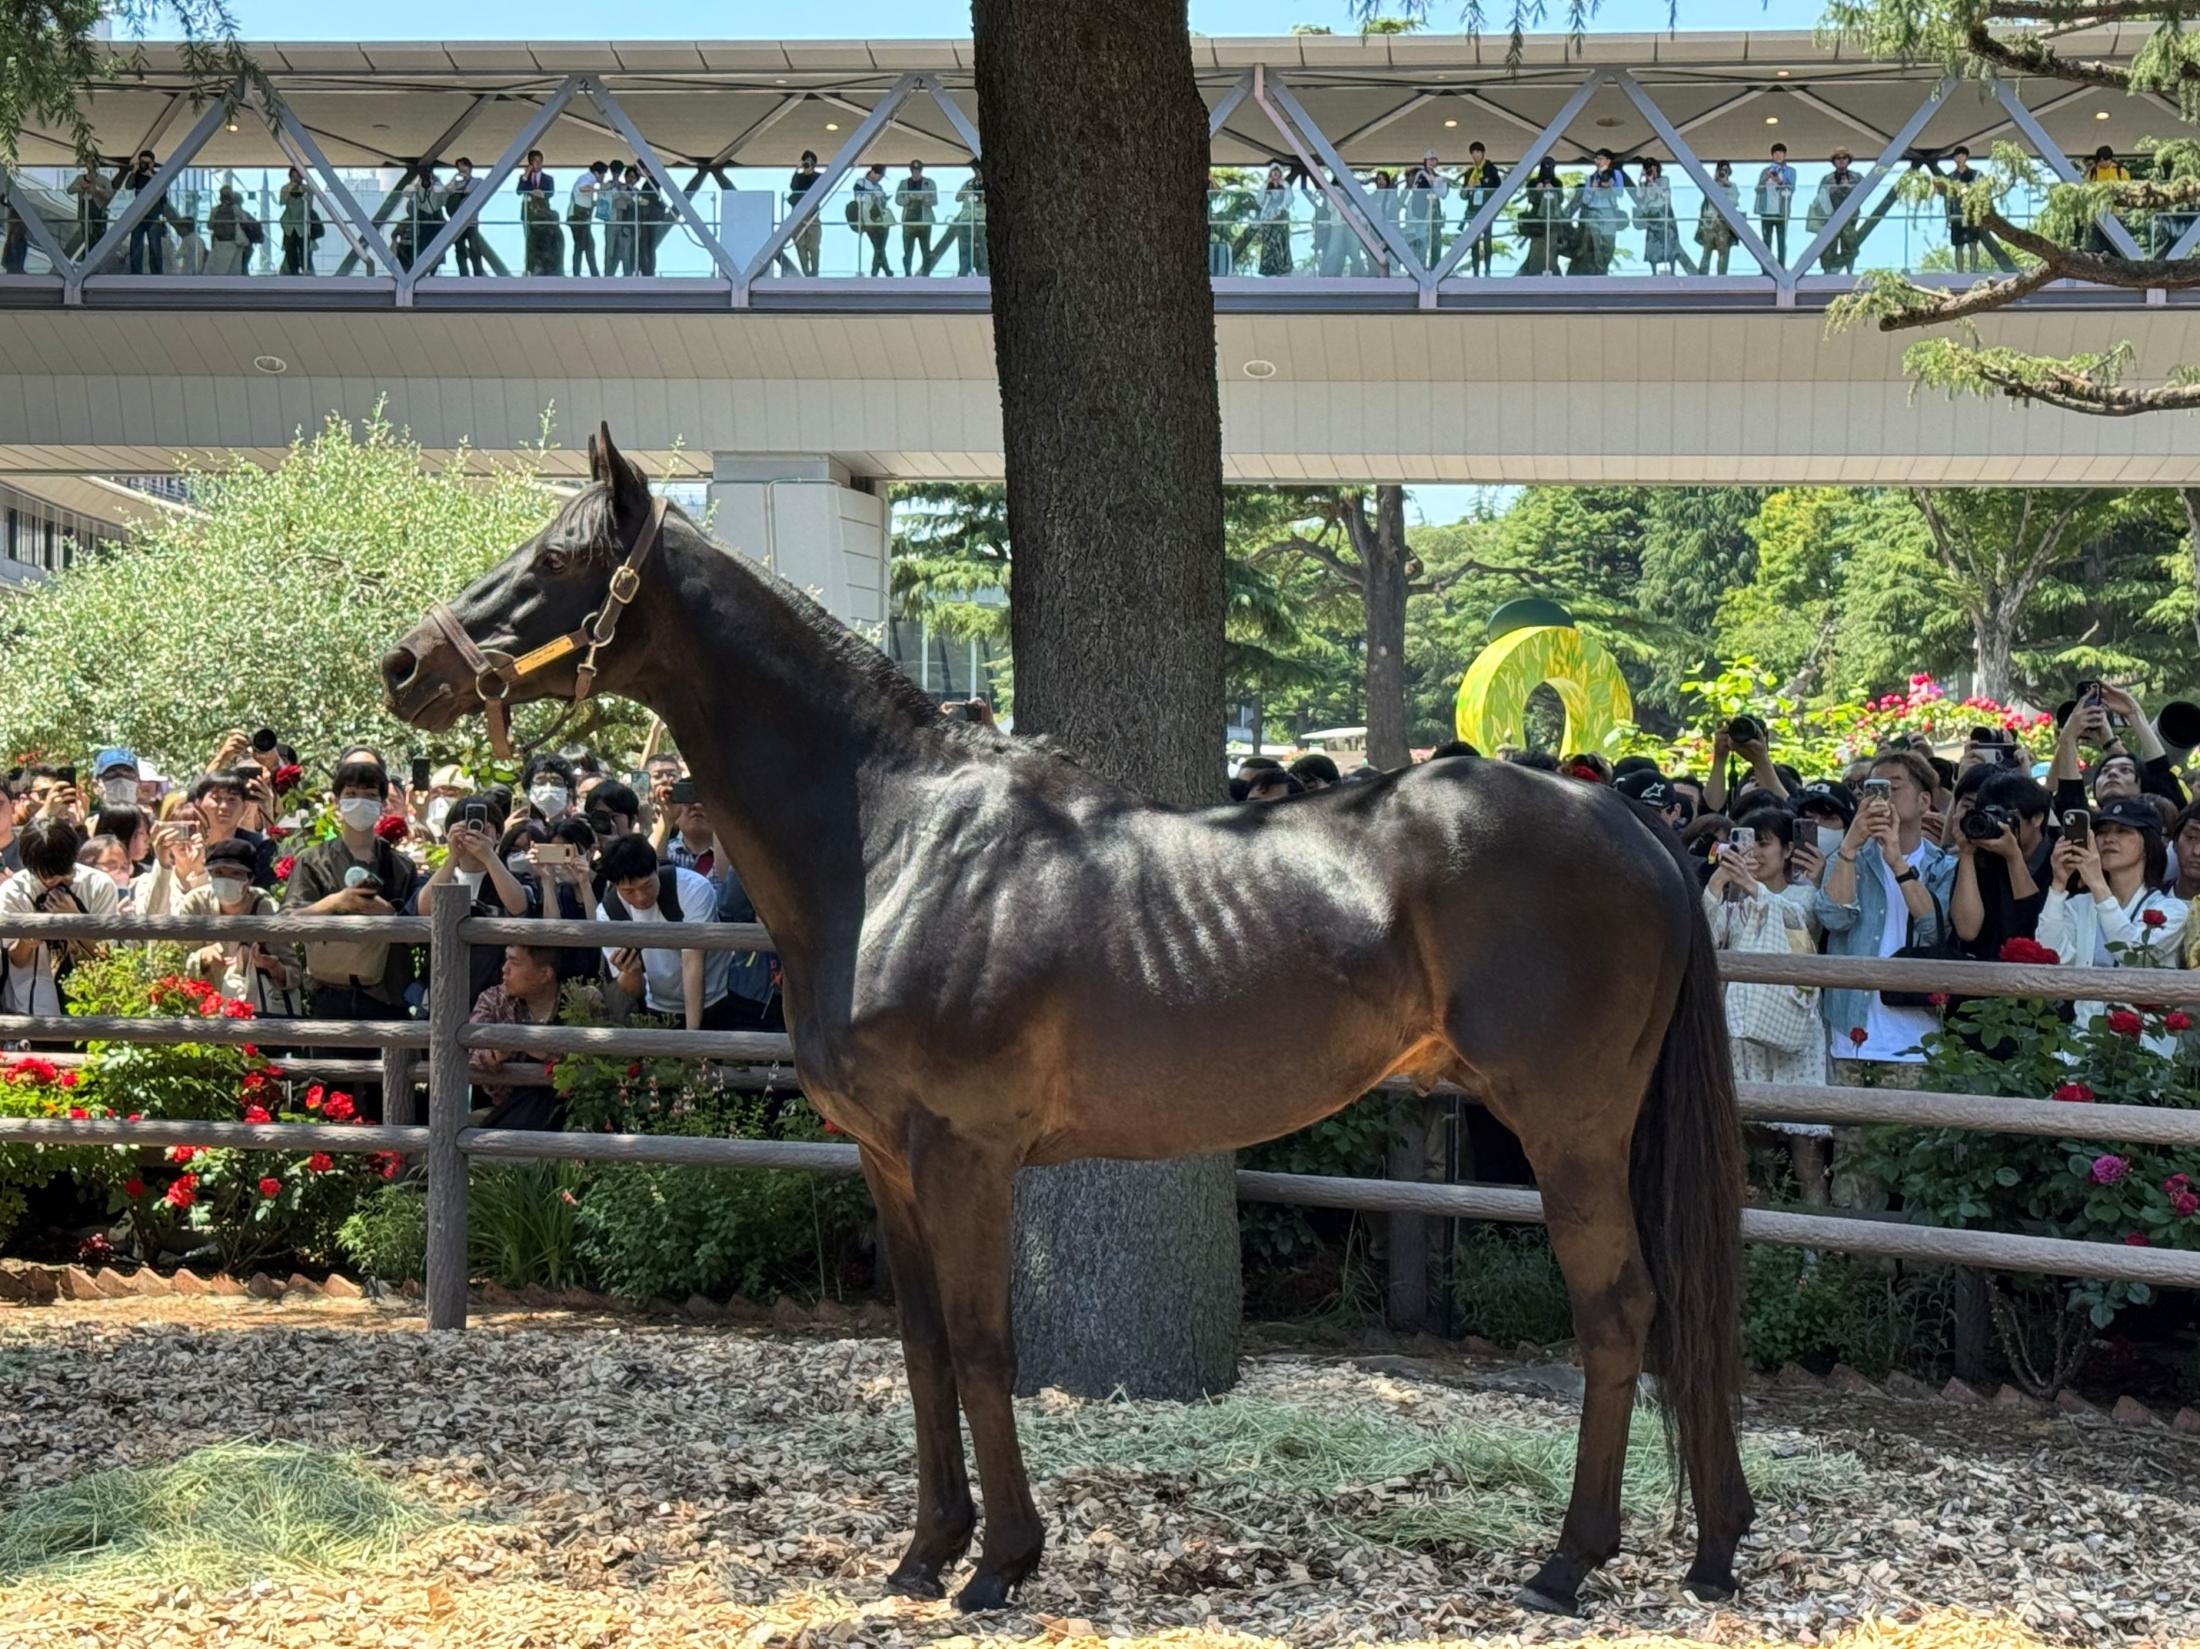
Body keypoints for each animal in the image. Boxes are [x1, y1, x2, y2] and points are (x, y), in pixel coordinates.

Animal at [382, 423, 1753, 1618]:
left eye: (560, 558)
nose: (405, 665)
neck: (891, 839)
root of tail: (1629, 822)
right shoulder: (886, 1158)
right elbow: (923, 1348)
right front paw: (922, 1553)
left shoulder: (964, 1154)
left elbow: (986, 1345)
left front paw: (999, 1564)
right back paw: (1712, 1546)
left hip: (1568, 1127)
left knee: (1619, 1310)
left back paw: (1568, 1563)